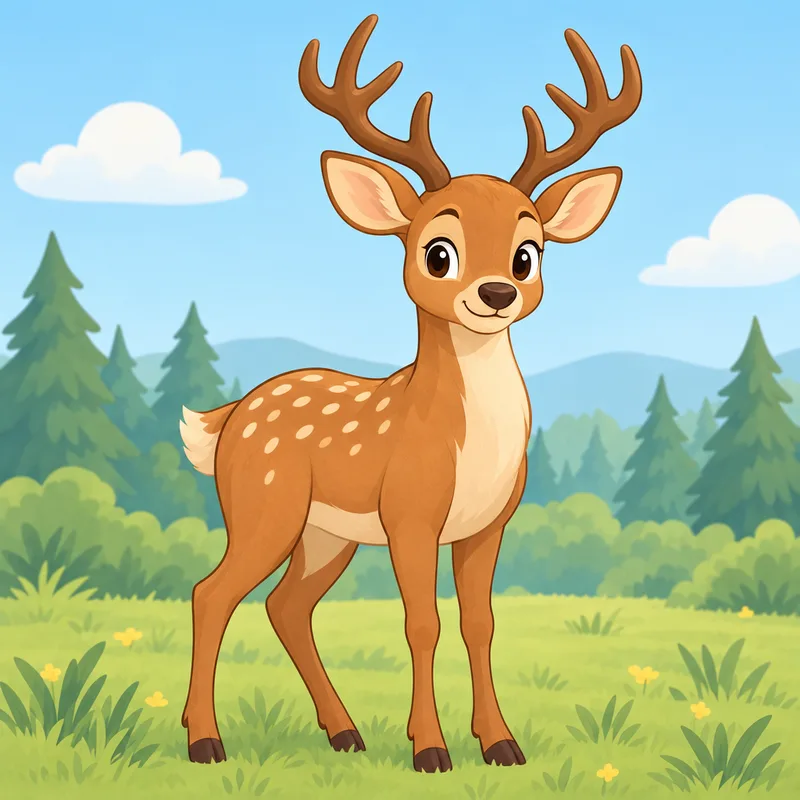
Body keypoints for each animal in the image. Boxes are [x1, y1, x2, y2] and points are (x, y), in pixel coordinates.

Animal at [179, 13, 641, 773]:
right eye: (438, 251)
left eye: (528, 252)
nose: (497, 292)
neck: (463, 440)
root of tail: (230, 417)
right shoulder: (409, 516)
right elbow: (421, 623)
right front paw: (430, 749)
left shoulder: (489, 523)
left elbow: (480, 623)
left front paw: (501, 743)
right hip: (264, 506)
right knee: (211, 593)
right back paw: (205, 741)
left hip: (325, 532)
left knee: (286, 606)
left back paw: (344, 733)